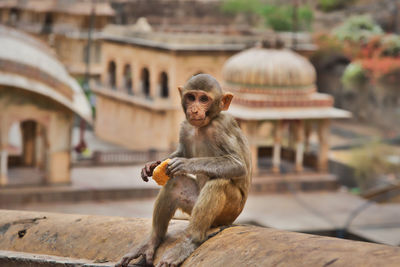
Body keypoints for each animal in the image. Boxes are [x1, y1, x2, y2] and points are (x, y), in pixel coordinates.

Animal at [115, 74, 252, 267]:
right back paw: (153, 241)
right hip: (193, 205)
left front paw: (184, 164)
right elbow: (181, 152)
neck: (203, 126)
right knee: (175, 183)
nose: (194, 110)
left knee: (219, 183)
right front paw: (153, 165)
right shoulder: (185, 126)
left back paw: (192, 240)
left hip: (228, 213)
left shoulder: (222, 126)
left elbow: (238, 164)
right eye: (191, 97)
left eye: (204, 99)